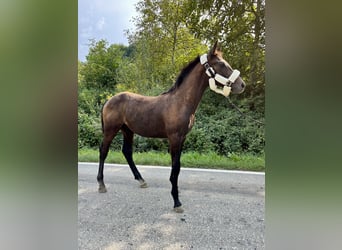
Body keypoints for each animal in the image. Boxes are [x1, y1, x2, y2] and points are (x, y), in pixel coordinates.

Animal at [97, 41, 244, 213]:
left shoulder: (182, 138)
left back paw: (141, 180)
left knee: (127, 152)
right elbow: (175, 168)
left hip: (128, 131)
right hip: (110, 130)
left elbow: (177, 166)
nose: (242, 85)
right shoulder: (174, 138)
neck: (180, 102)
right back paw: (101, 184)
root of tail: (108, 100)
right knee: (103, 151)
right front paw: (176, 202)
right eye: (221, 63)